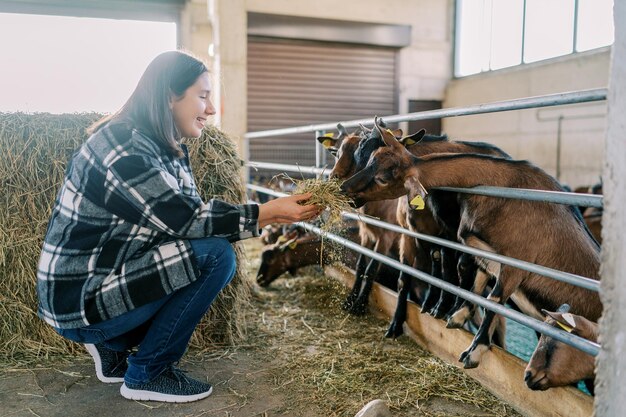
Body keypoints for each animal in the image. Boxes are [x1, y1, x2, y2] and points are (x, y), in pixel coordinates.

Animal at [342, 122, 600, 368]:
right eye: (369, 158)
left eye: (382, 179)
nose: (344, 188)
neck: (502, 184)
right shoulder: (467, 244)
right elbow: (471, 280)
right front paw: (455, 313)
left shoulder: (513, 261)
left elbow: (491, 296)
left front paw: (474, 349)